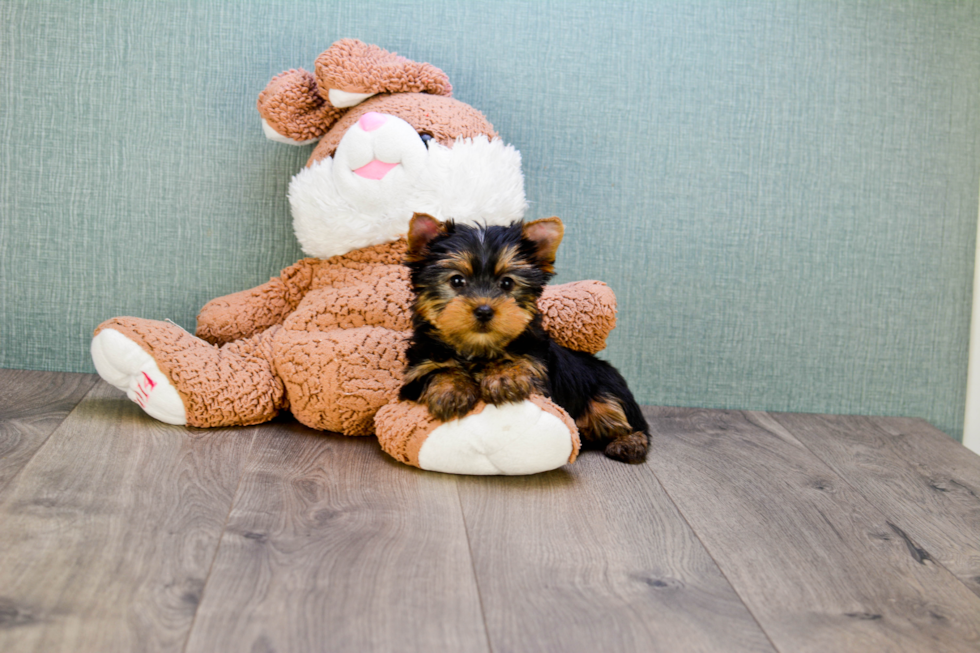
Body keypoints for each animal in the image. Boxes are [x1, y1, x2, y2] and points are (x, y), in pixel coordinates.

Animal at [398, 214, 652, 464]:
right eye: (457, 281)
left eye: (507, 283)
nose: (484, 310)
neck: (477, 347)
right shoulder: (418, 369)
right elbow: (438, 370)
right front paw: (452, 390)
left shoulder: (537, 368)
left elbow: (517, 361)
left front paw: (504, 377)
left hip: (606, 390)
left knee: (624, 418)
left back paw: (629, 442)